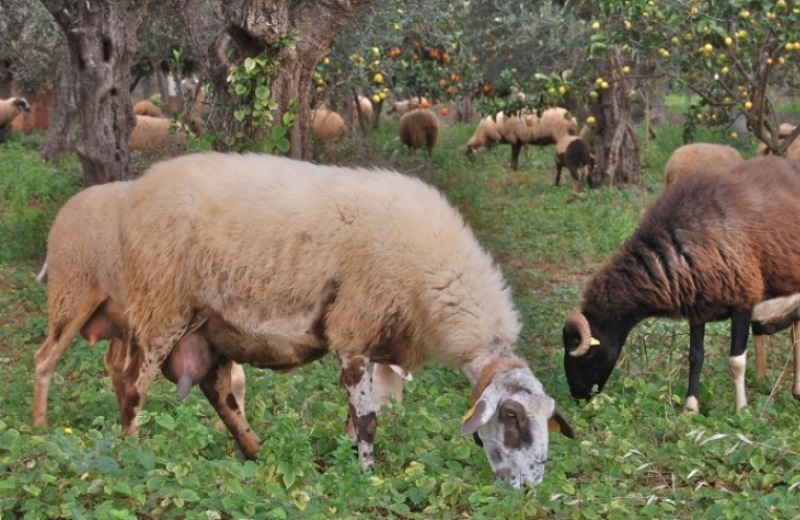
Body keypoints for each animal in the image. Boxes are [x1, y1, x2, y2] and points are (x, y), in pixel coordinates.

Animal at [32, 182, 247, 430]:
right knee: (45, 359)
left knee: (114, 365)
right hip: (72, 295)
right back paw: (41, 427)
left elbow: (236, 379)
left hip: (119, 315)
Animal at [115, 151, 572, 488]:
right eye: (511, 416)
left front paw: (349, 462)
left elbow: (356, 420)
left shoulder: (373, 341)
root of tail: (142, 186)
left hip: (213, 328)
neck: (437, 282)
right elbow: (367, 421)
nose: (531, 488)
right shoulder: (353, 330)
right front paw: (369, 479)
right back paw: (131, 454)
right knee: (132, 385)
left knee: (220, 393)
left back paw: (256, 452)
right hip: (162, 304)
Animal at [564, 156, 800, 412]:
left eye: (587, 354)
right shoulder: (698, 309)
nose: (577, 396)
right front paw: (690, 408)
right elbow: (695, 356)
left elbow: (736, 362)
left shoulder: (743, 301)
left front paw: (741, 410)